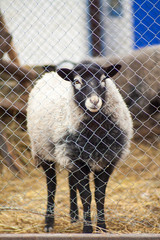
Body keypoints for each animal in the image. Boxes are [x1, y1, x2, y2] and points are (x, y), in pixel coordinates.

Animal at [26, 62, 133, 233]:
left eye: (103, 79)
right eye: (76, 81)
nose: (94, 101)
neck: (95, 131)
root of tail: (50, 73)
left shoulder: (107, 159)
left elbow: (99, 195)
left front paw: (102, 227)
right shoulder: (77, 160)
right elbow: (86, 196)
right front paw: (88, 229)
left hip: (69, 153)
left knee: (71, 182)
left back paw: (74, 215)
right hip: (44, 150)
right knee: (52, 185)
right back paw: (49, 221)